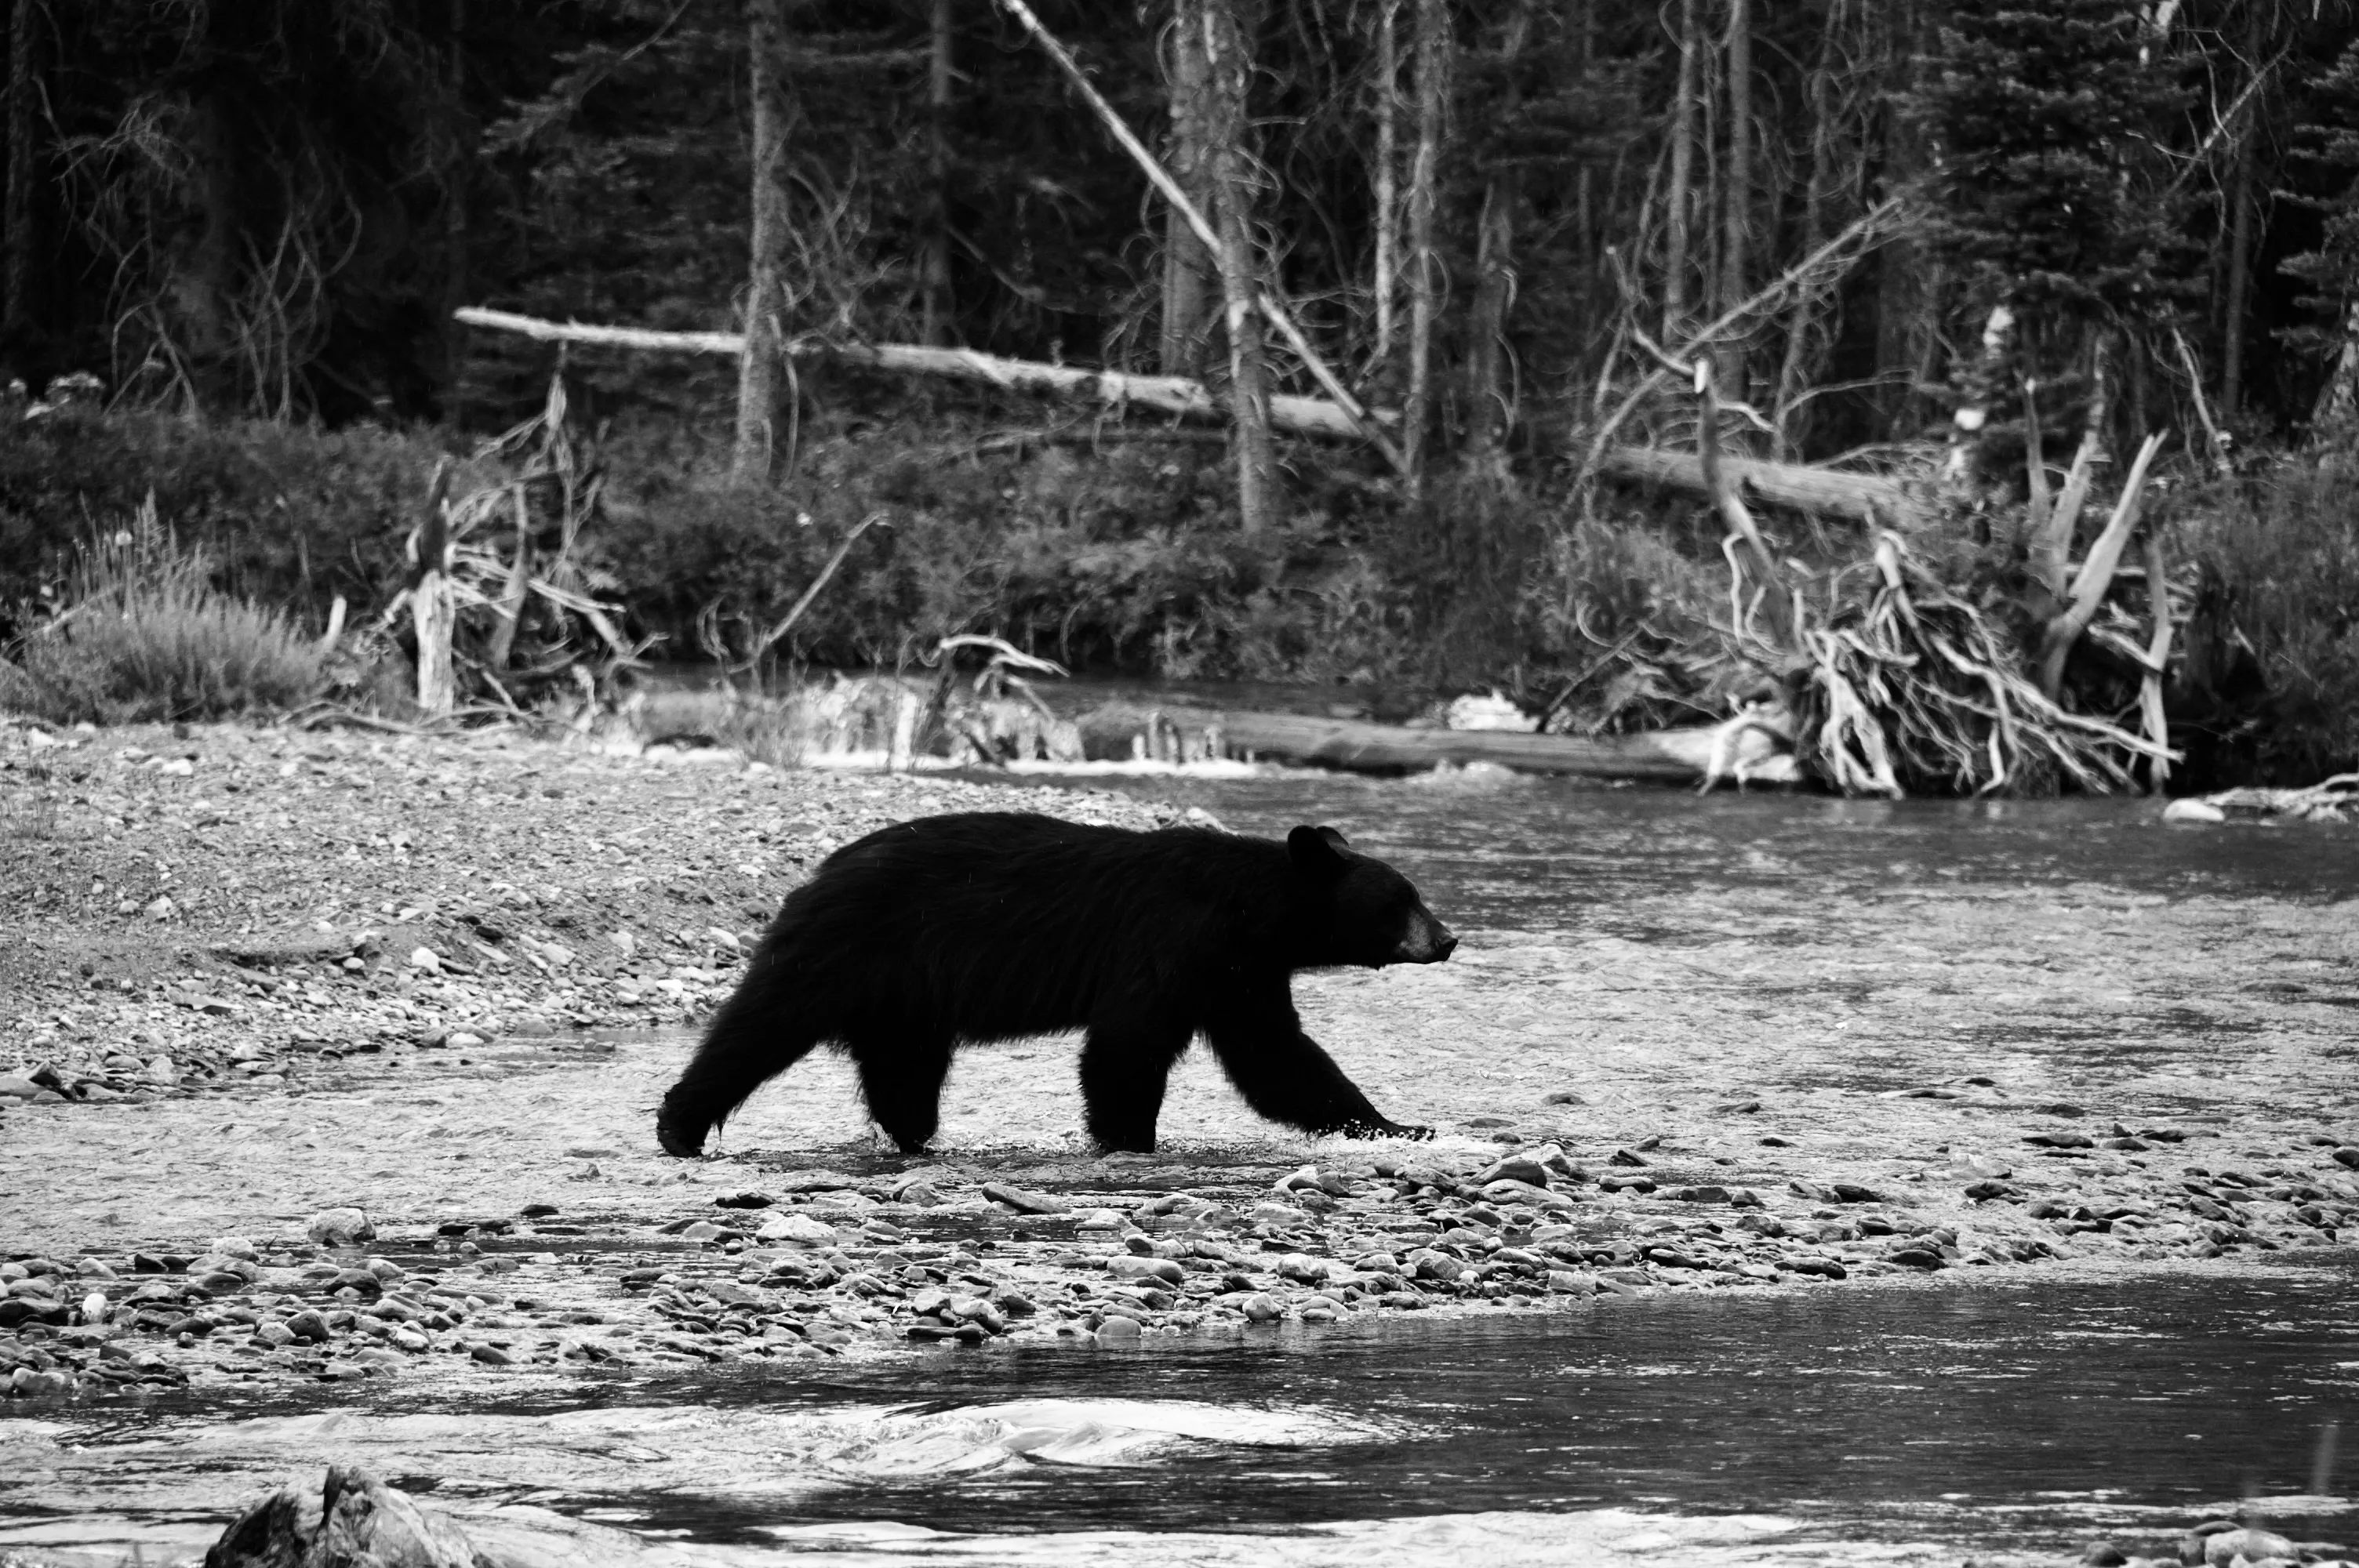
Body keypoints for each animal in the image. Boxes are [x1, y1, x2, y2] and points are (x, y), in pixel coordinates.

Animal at [655, 810, 1456, 1157]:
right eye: (1404, 898)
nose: (1447, 939)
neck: (1250, 912)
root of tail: (817, 872)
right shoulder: (1171, 942)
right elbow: (1127, 1045)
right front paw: (1130, 1139)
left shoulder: (1238, 971)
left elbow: (1278, 1057)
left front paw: (1396, 1124)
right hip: (849, 948)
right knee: (763, 1023)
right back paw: (680, 1125)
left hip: (905, 993)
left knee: (904, 1069)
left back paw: (917, 1139)